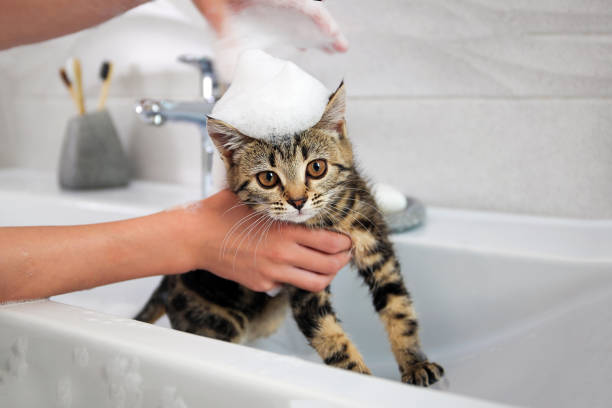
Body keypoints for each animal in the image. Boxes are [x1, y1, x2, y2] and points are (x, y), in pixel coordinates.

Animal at [136, 83, 444, 386]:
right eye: (268, 178)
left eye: (317, 167)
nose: (298, 201)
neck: (327, 221)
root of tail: (166, 284)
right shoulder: (304, 279)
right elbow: (331, 337)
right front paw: (359, 377)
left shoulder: (376, 246)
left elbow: (399, 308)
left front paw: (415, 363)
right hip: (216, 321)